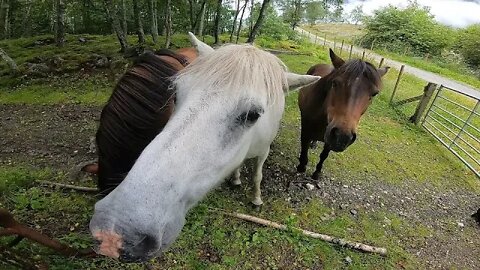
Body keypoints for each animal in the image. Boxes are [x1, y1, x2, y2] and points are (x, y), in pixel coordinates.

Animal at [296, 49, 390, 179]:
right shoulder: (306, 131)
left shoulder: (330, 138)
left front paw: (317, 172)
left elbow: (324, 155)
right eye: (335, 83)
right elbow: (304, 150)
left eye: (374, 94)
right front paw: (301, 167)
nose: (343, 136)